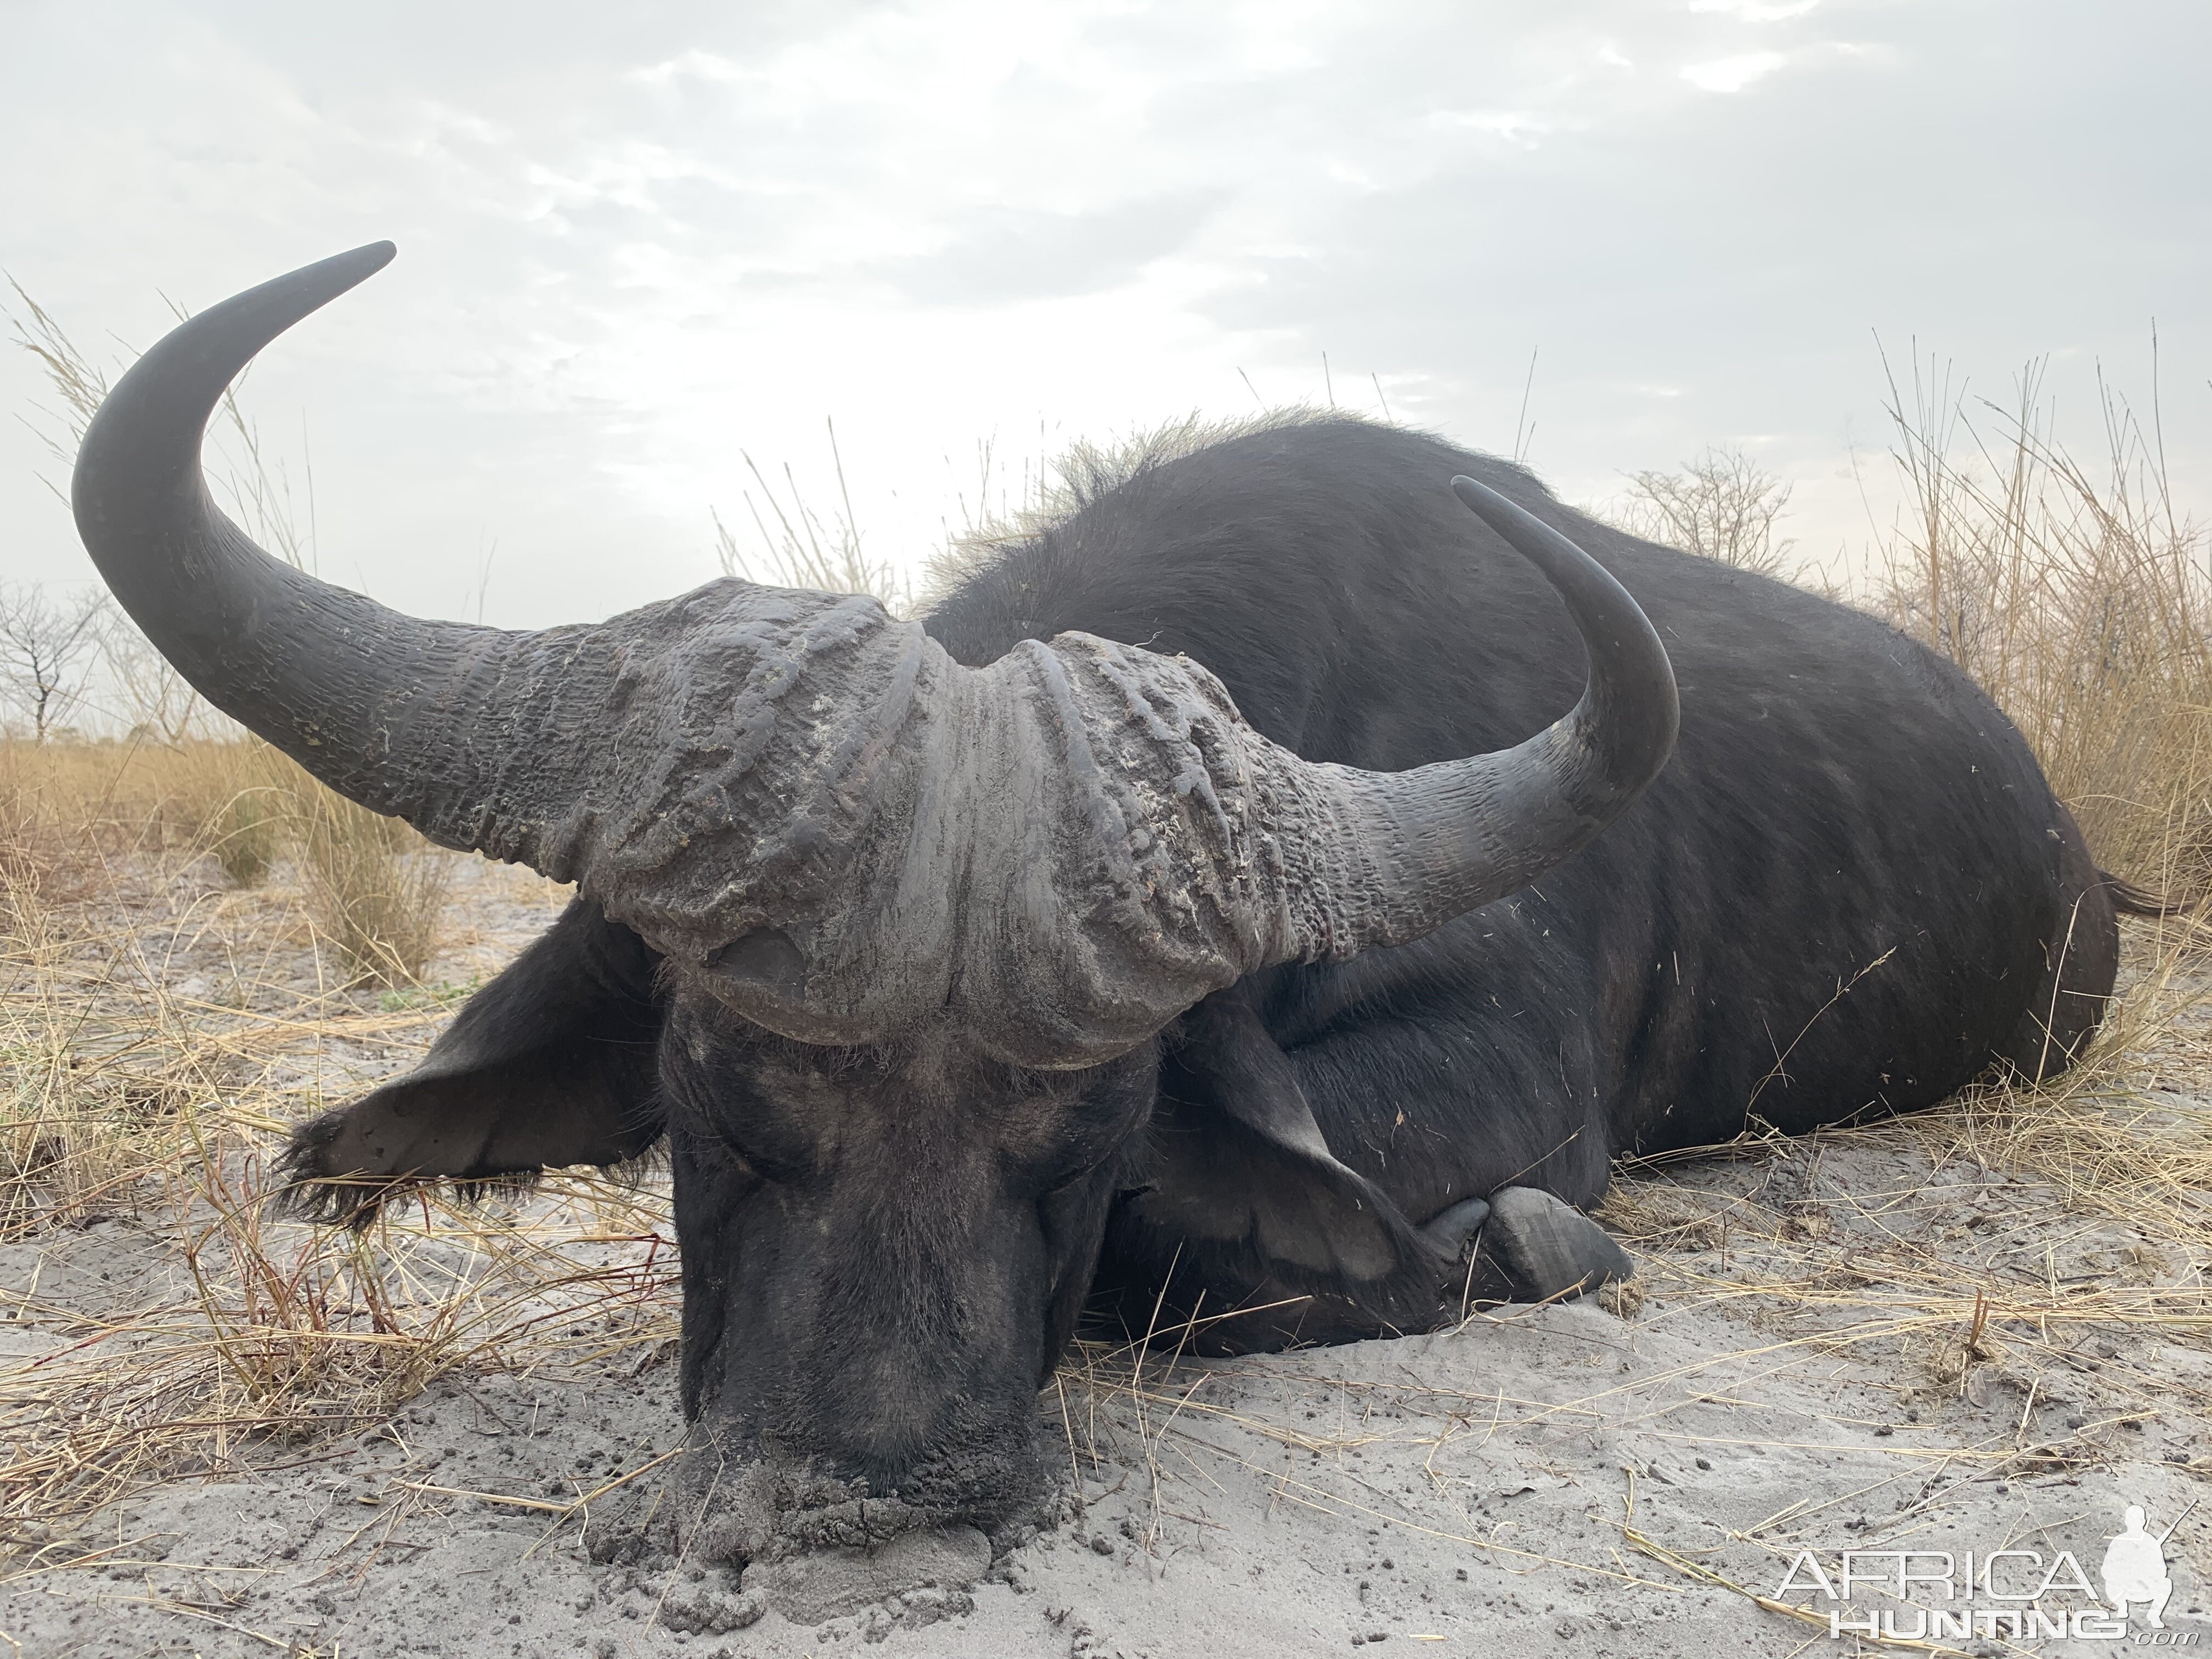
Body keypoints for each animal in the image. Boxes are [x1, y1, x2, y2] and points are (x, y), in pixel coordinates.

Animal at [74, 246, 2123, 1575]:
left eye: (1093, 1123)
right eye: (714, 1094)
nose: (866, 1505)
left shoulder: (1514, 1079)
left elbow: (1216, 1238)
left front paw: (1535, 1250)